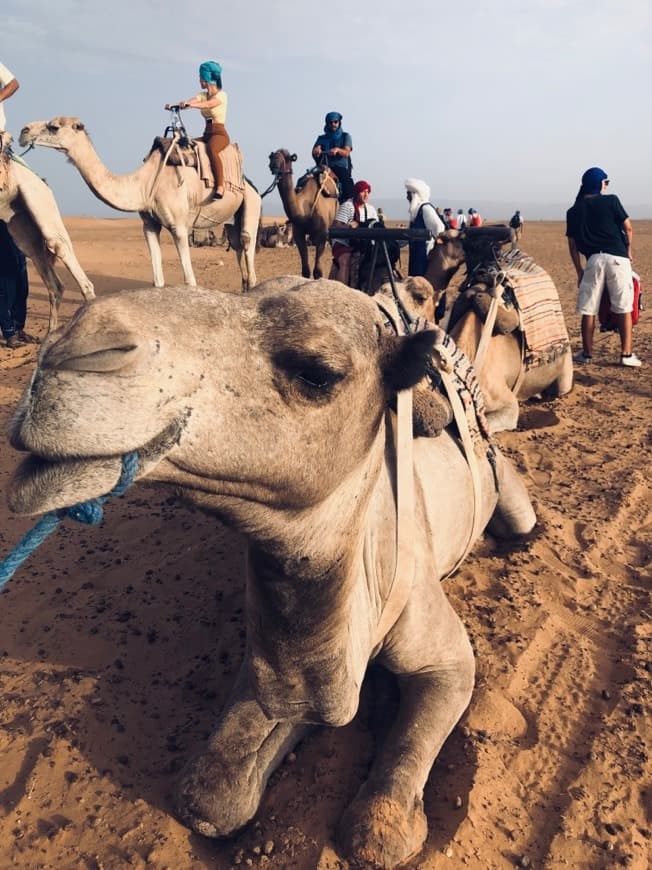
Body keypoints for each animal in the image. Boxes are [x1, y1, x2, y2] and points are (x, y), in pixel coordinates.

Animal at [7, 278, 536, 864]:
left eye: (316, 373)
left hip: (511, 492)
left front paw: (388, 821)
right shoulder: (277, 665)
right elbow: (212, 794)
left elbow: (381, 817)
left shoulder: (446, 658)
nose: (67, 351)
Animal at [21, 116, 260, 290]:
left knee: (247, 242)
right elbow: (157, 280)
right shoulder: (149, 225)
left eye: (54, 127)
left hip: (251, 202)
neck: (143, 185)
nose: (24, 131)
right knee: (238, 244)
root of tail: (250, 184)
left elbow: (189, 280)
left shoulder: (179, 226)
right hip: (233, 217)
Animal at [266, 150, 336, 278]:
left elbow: (318, 272)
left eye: (285, 159)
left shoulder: (322, 234)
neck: (304, 212)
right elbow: (305, 271)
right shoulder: (298, 234)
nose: (273, 167)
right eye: (272, 157)